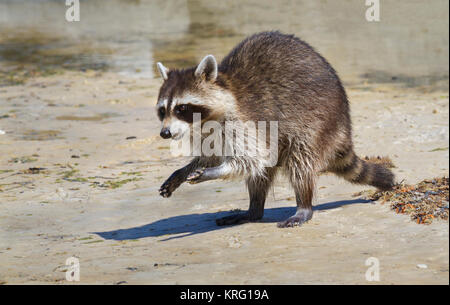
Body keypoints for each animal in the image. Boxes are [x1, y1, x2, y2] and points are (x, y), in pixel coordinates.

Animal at [155, 31, 394, 226]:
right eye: (162, 110)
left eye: (181, 108)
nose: (165, 133)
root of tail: (344, 125)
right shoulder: (206, 132)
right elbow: (212, 156)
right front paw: (183, 171)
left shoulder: (244, 122)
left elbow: (251, 159)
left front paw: (210, 172)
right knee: (261, 175)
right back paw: (254, 209)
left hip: (318, 122)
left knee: (300, 162)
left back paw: (303, 205)